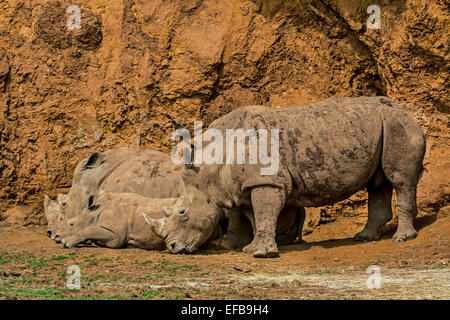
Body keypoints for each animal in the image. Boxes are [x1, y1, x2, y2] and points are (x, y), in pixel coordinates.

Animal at [144, 95, 426, 258]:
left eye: (182, 213)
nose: (171, 248)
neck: (210, 169)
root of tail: (405, 109)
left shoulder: (267, 181)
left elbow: (264, 213)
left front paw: (261, 254)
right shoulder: (246, 185)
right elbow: (254, 216)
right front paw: (252, 249)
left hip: (397, 124)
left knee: (400, 180)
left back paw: (402, 238)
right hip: (382, 125)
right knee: (377, 183)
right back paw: (364, 237)